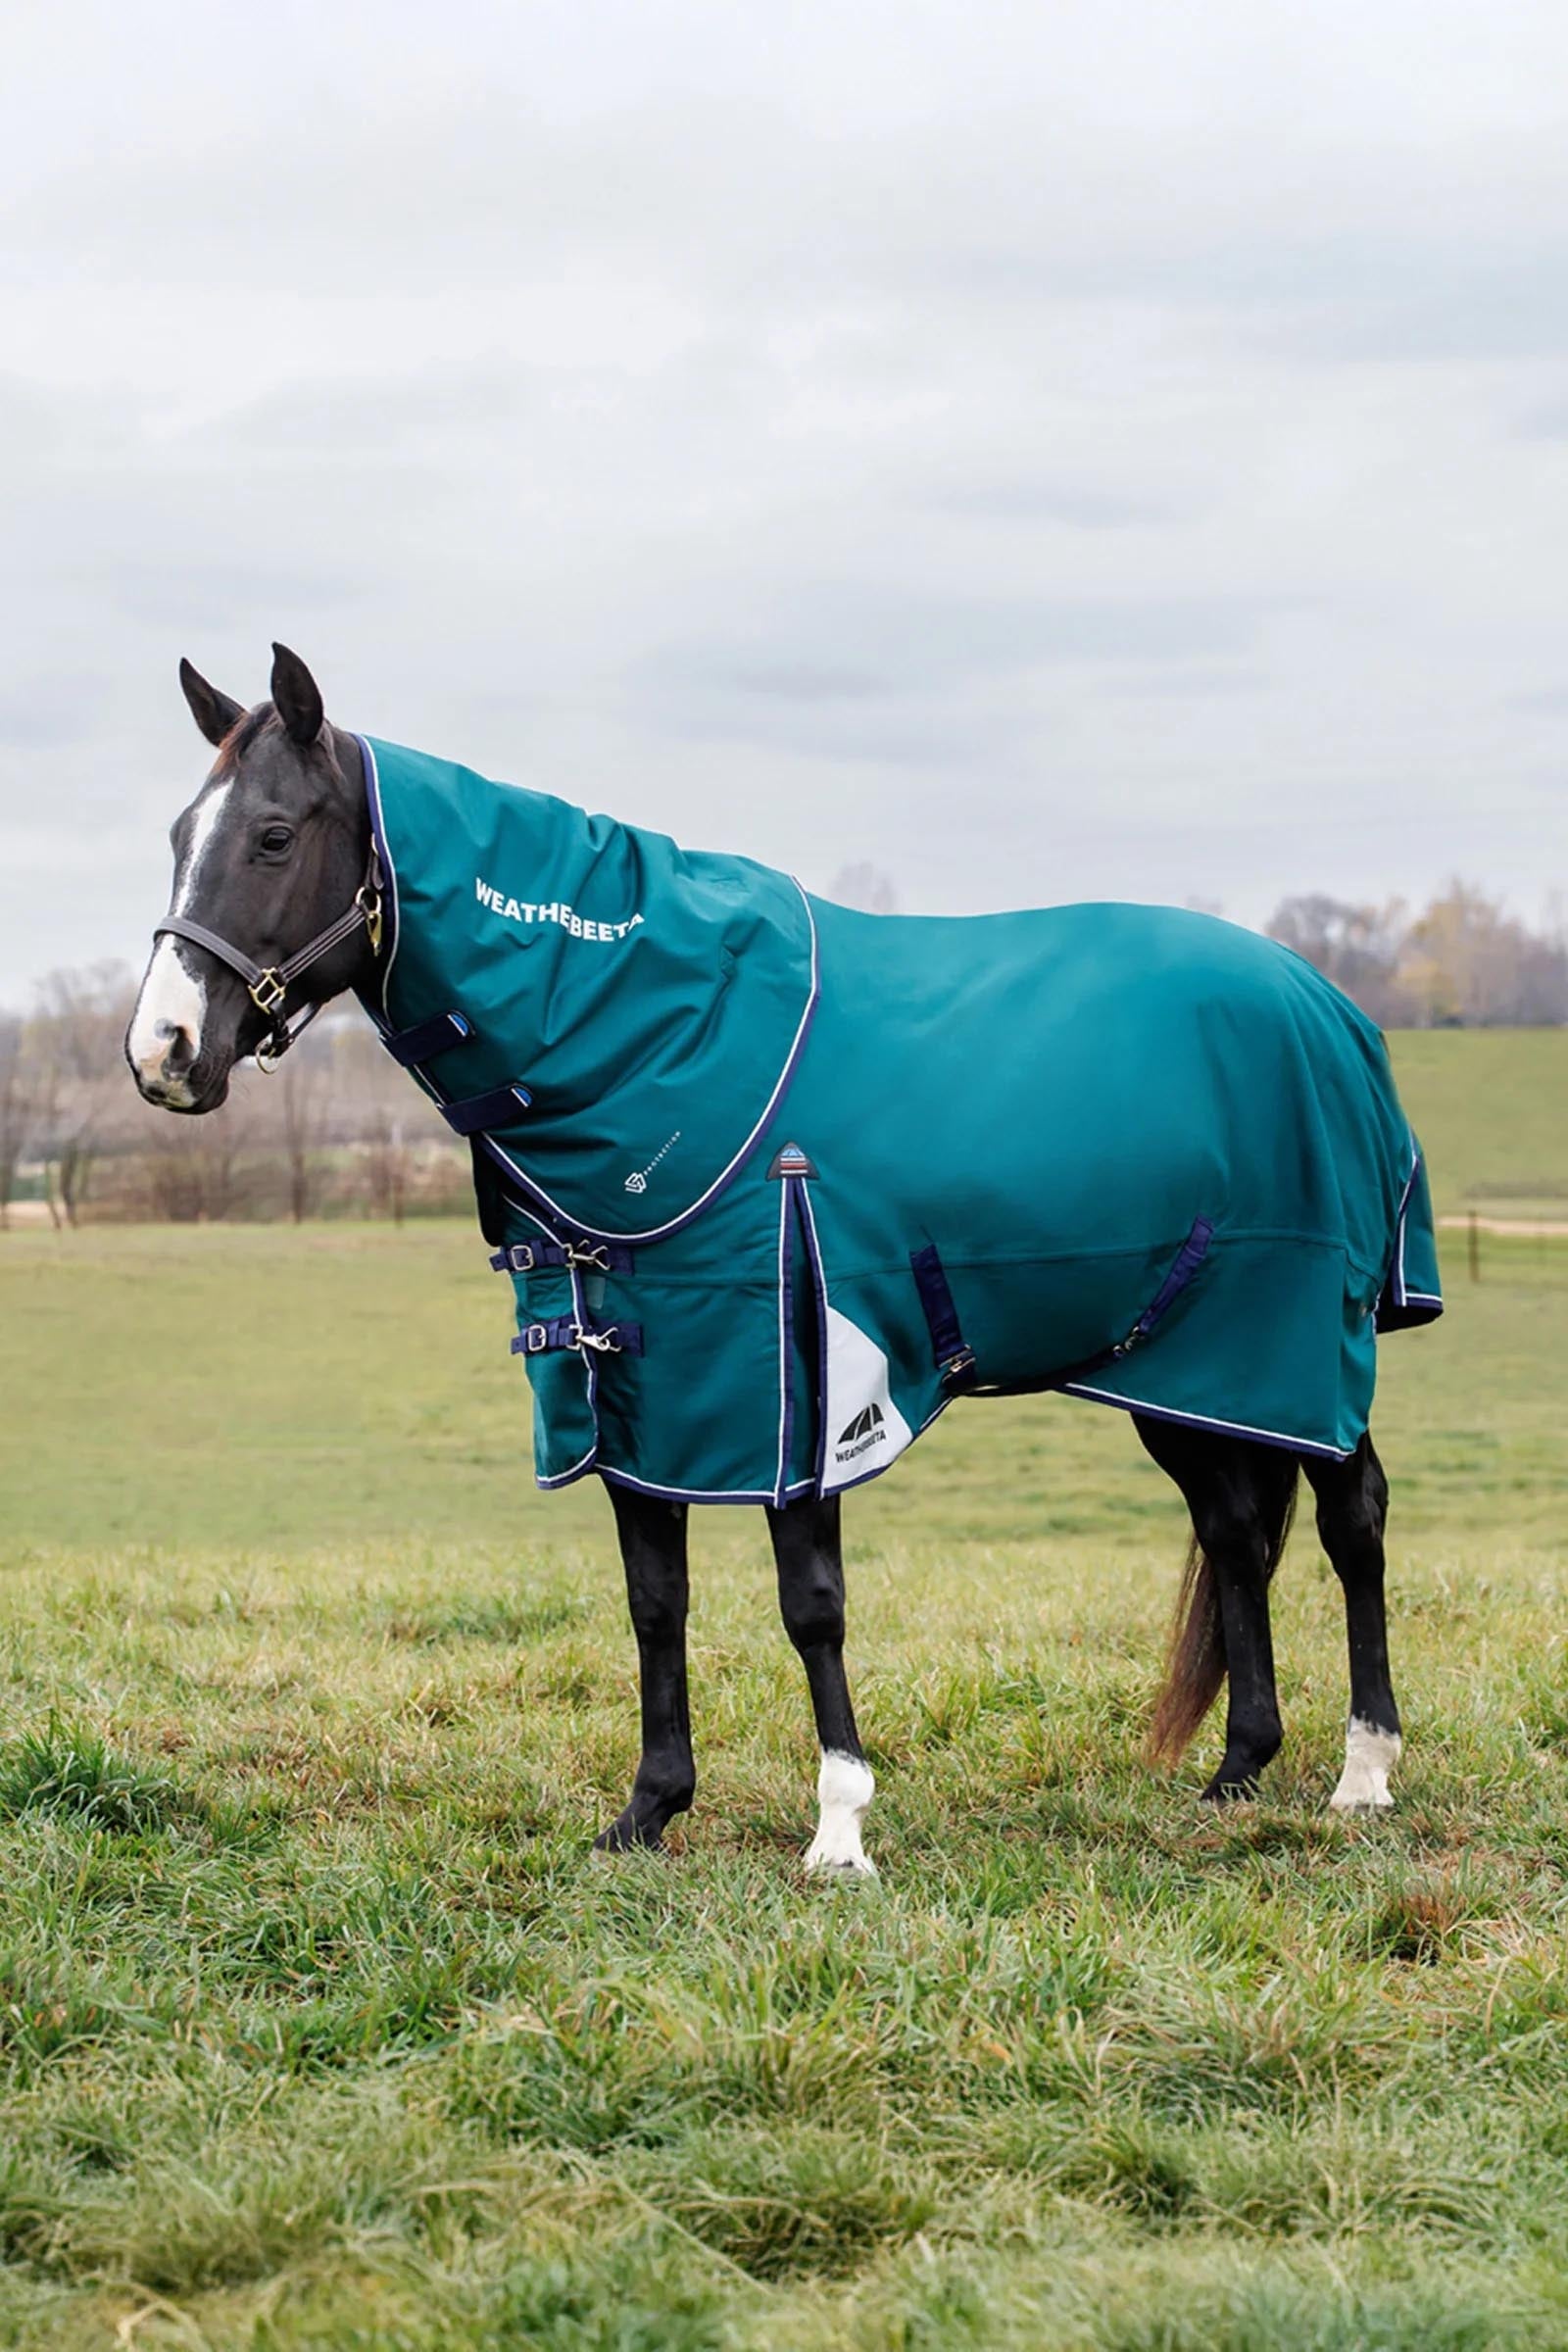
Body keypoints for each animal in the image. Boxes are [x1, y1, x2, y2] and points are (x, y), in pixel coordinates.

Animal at [126, 644, 1437, 1875]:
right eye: (181, 835)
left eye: (274, 835)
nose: (163, 1052)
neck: (665, 1043)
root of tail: (1325, 1006)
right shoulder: (636, 1384)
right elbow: (654, 1602)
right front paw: (646, 1813)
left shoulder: (799, 1373)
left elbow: (811, 1607)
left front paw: (839, 1829)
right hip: (1181, 1364)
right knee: (1233, 1530)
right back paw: (1236, 1772)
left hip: (1301, 1344)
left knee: (1350, 1518)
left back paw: (1362, 1774)